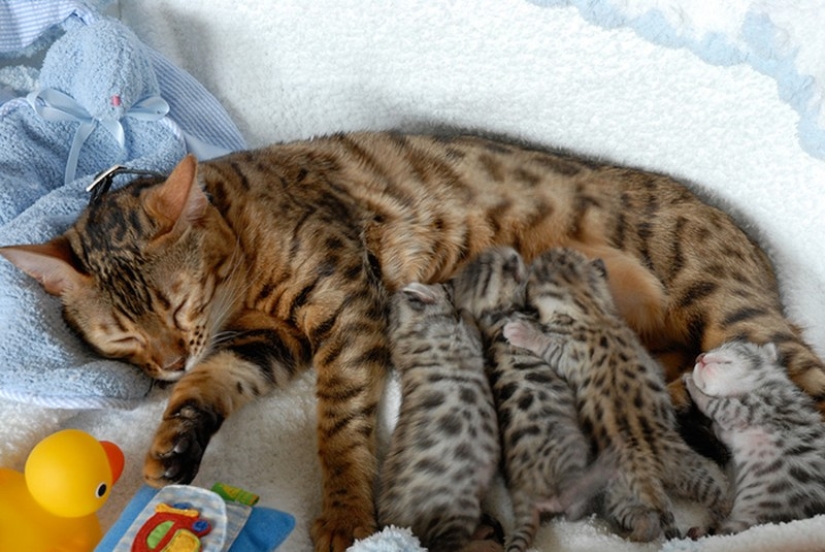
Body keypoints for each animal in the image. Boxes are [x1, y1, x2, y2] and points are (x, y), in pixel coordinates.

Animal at [376, 282, 498, 552]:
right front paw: (465, 307)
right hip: (458, 508)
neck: (406, 330)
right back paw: (488, 542)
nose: (451, 281)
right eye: (445, 286)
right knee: (450, 546)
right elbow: (468, 319)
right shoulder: (465, 338)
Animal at [450, 246, 612, 552]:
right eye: (494, 267)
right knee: (571, 505)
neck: (496, 315)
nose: (514, 255)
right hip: (571, 457)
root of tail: (523, 497)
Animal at [502, 249, 728, 540]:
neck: (591, 307)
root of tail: (652, 475)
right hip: (689, 469)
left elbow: (544, 342)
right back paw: (709, 526)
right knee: (719, 500)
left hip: (621, 487)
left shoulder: (564, 350)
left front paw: (520, 332)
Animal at [684, 340, 824, 536]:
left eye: (728, 346)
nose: (699, 357)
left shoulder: (749, 408)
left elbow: (712, 403)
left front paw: (690, 381)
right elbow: (721, 429)